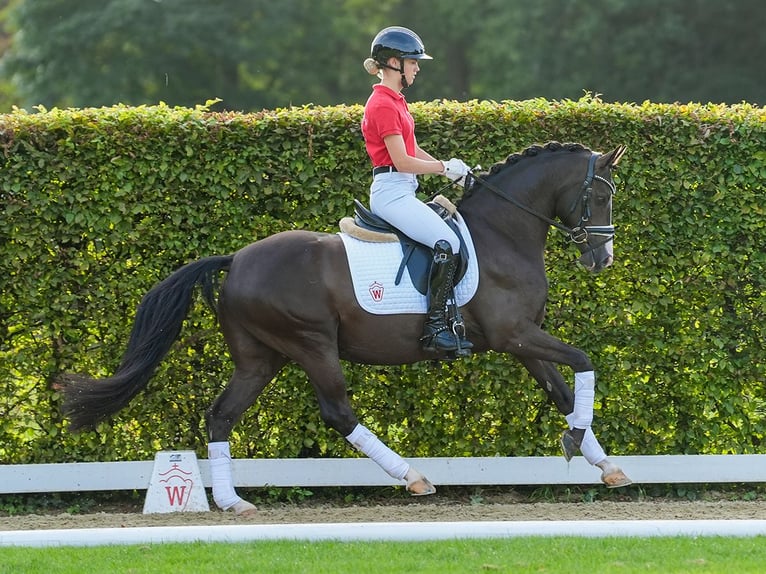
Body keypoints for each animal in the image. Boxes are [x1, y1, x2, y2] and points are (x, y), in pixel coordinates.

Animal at [60, 141, 632, 516]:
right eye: (602, 197)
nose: (602, 259)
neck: (501, 233)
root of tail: (236, 260)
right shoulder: (514, 335)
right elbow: (583, 362)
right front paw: (578, 441)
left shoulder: (522, 340)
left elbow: (563, 391)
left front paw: (605, 464)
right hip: (311, 344)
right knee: (337, 412)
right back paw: (414, 478)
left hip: (260, 357)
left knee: (221, 415)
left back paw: (231, 501)